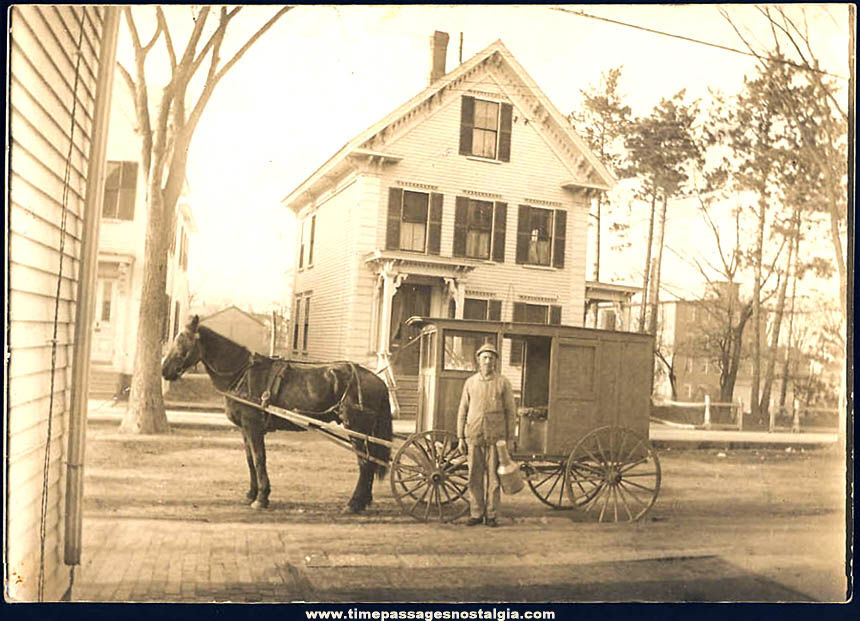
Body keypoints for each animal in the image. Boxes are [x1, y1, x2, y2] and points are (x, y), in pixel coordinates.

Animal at [161, 314, 394, 512]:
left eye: (182, 342)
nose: (165, 370)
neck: (242, 373)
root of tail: (377, 380)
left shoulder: (253, 427)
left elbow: (259, 459)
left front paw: (261, 498)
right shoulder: (245, 430)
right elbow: (250, 460)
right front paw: (251, 493)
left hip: (357, 428)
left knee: (365, 463)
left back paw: (353, 503)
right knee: (370, 462)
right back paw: (363, 501)